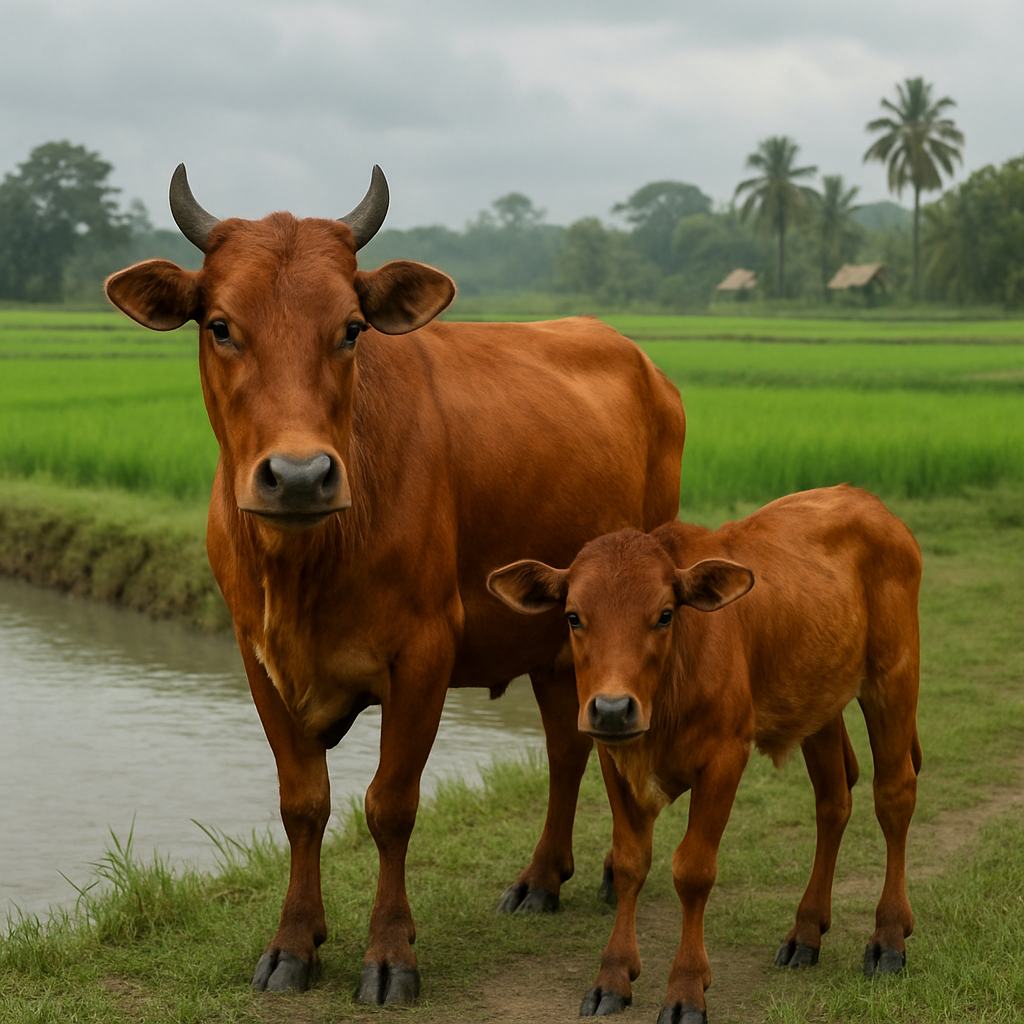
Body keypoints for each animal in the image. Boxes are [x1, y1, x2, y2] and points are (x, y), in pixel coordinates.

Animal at [103, 165, 686, 1005]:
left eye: (351, 327)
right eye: (219, 325)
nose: (299, 476)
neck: (306, 563)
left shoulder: (424, 655)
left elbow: (391, 806)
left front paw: (389, 954)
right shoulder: (256, 656)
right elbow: (303, 804)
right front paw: (294, 943)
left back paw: (604, 872)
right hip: (556, 638)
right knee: (565, 748)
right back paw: (541, 879)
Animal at [488, 485, 922, 1024]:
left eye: (664, 614)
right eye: (573, 616)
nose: (612, 708)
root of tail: (865, 499)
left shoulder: (724, 757)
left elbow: (693, 871)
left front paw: (686, 988)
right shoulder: (613, 758)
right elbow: (630, 863)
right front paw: (613, 976)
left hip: (894, 676)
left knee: (894, 797)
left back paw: (888, 938)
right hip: (818, 703)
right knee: (833, 803)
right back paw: (805, 931)